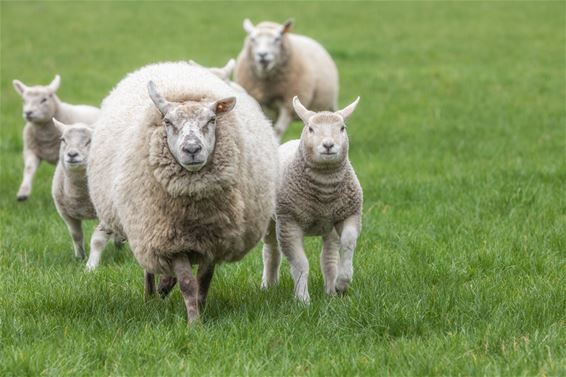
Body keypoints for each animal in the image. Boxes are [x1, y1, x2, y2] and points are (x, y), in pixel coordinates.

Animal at [88, 61, 280, 324]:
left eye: (212, 119)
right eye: (167, 122)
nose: (192, 149)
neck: (195, 210)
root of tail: (171, 64)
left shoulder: (214, 240)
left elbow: (203, 281)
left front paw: (201, 308)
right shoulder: (170, 240)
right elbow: (188, 283)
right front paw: (194, 322)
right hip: (144, 227)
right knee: (150, 268)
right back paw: (151, 295)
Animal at [262, 94, 364, 302]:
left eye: (342, 128)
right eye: (310, 128)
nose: (328, 145)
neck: (325, 190)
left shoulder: (351, 213)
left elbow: (348, 242)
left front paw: (343, 282)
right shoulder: (289, 224)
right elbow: (300, 264)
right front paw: (302, 299)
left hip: (330, 227)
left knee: (329, 257)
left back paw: (331, 289)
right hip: (271, 220)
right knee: (270, 250)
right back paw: (268, 285)